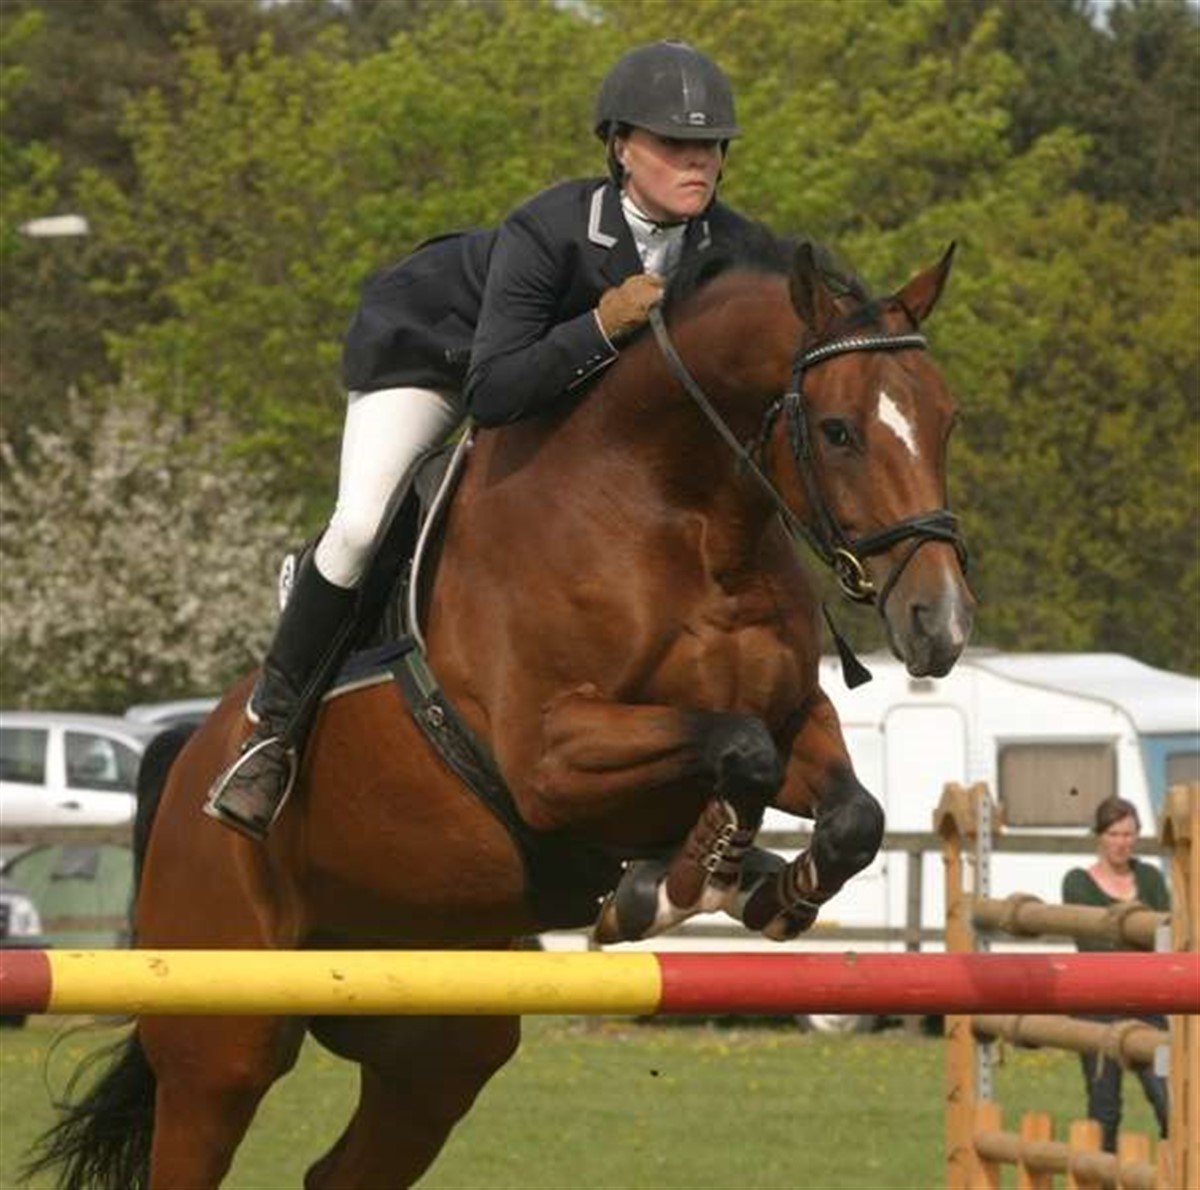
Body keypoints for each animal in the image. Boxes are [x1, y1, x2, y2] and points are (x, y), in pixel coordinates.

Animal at [26, 238, 974, 1189]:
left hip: (437, 1039)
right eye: (838, 431)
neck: (686, 517)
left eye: (945, 418)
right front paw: (668, 890)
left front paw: (772, 890)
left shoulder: (797, 718)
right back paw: (258, 767)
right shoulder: (550, 759)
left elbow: (850, 811)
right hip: (223, 1038)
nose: (941, 624)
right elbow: (737, 752)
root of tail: (185, 757)